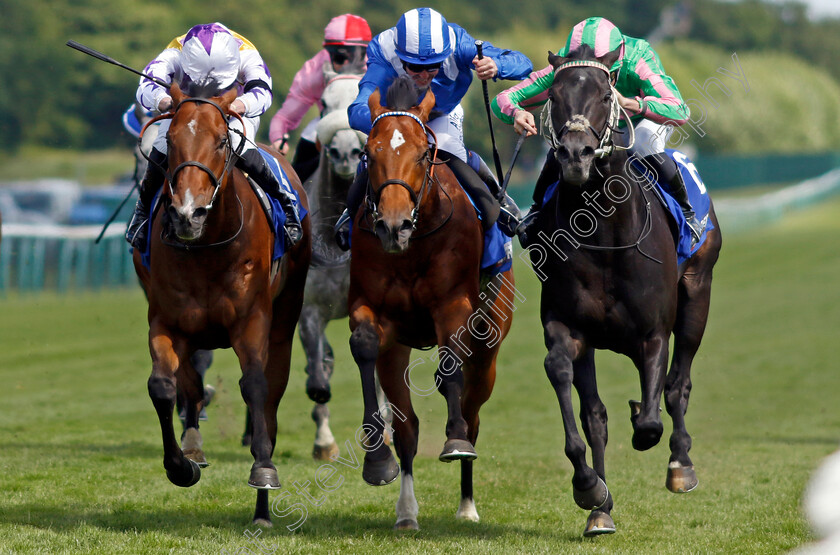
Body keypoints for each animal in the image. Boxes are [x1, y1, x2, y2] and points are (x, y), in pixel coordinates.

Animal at [133, 82, 310, 524]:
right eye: (171, 141)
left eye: (220, 141)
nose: (187, 214)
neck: (207, 248)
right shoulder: (167, 320)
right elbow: (163, 386)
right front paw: (181, 465)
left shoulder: (253, 319)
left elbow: (257, 385)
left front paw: (263, 469)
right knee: (191, 385)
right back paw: (194, 444)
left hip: (286, 317)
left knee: (272, 393)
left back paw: (262, 508)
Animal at [348, 76, 520, 532]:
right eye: (369, 153)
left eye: (423, 153)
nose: (393, 226)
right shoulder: (373, 312)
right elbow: (364, 345)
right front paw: (376, 460)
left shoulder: (452, 306)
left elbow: (450, 369)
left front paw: (454, 439)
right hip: (398, 350)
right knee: (407, 426)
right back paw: (406, 512)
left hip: (489, 349)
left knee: (473, 411)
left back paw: (467, 502)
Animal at [520, 46, 720, 536]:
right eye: (553, 95)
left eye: (606, 94)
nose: (575, 154)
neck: (604, 237)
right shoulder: (569, 328)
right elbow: (576, 399)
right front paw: (591, 490)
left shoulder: (653, 334)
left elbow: (649, 420)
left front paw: (652, 433)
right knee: (598, 414)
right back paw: (600, 508)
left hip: (698, 296)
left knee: (678, 385)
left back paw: (681, 464)